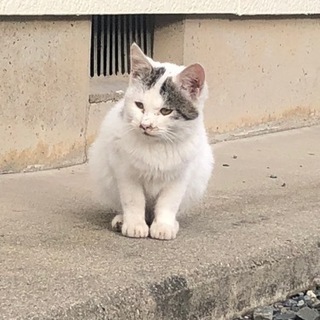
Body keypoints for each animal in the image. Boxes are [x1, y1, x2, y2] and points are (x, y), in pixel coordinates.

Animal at [89, 43, 214, 241]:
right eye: (139, 105)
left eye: (165, 111)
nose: (145, 125)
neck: (156, 146)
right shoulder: (125, 171)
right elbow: (133, 199)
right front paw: (134, 224)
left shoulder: (180, 175)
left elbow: (169, 202)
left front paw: (164, 226)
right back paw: (121, 220)